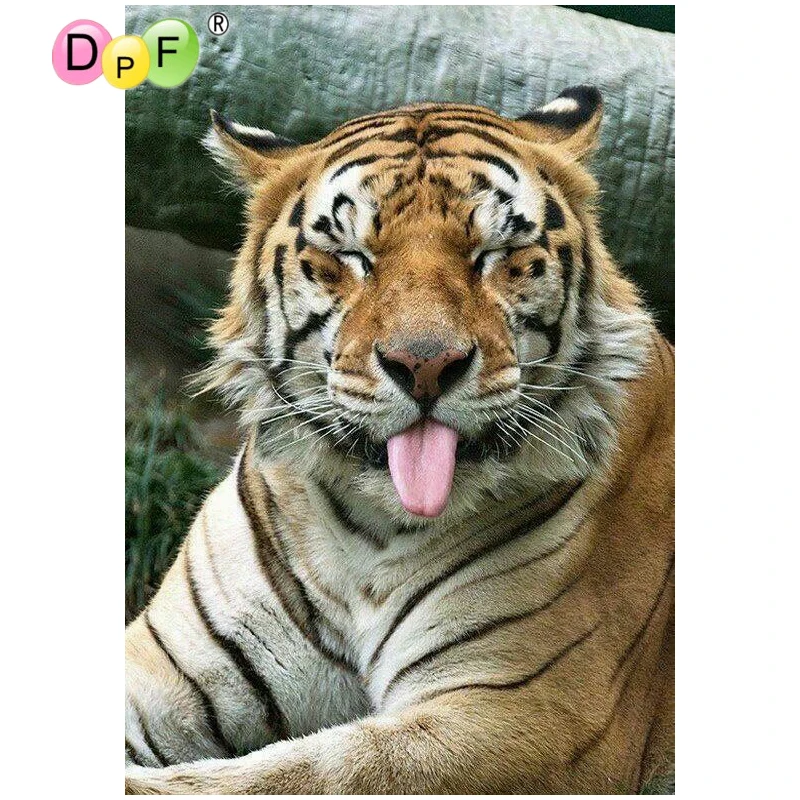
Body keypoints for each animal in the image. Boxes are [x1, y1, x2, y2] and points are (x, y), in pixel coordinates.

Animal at [125, 85, 674, 795]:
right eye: (353, 257)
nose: (425, 364)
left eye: (491, 255)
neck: (368, 530)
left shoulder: (527, 712)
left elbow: (306, 769)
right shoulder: (167, 664)